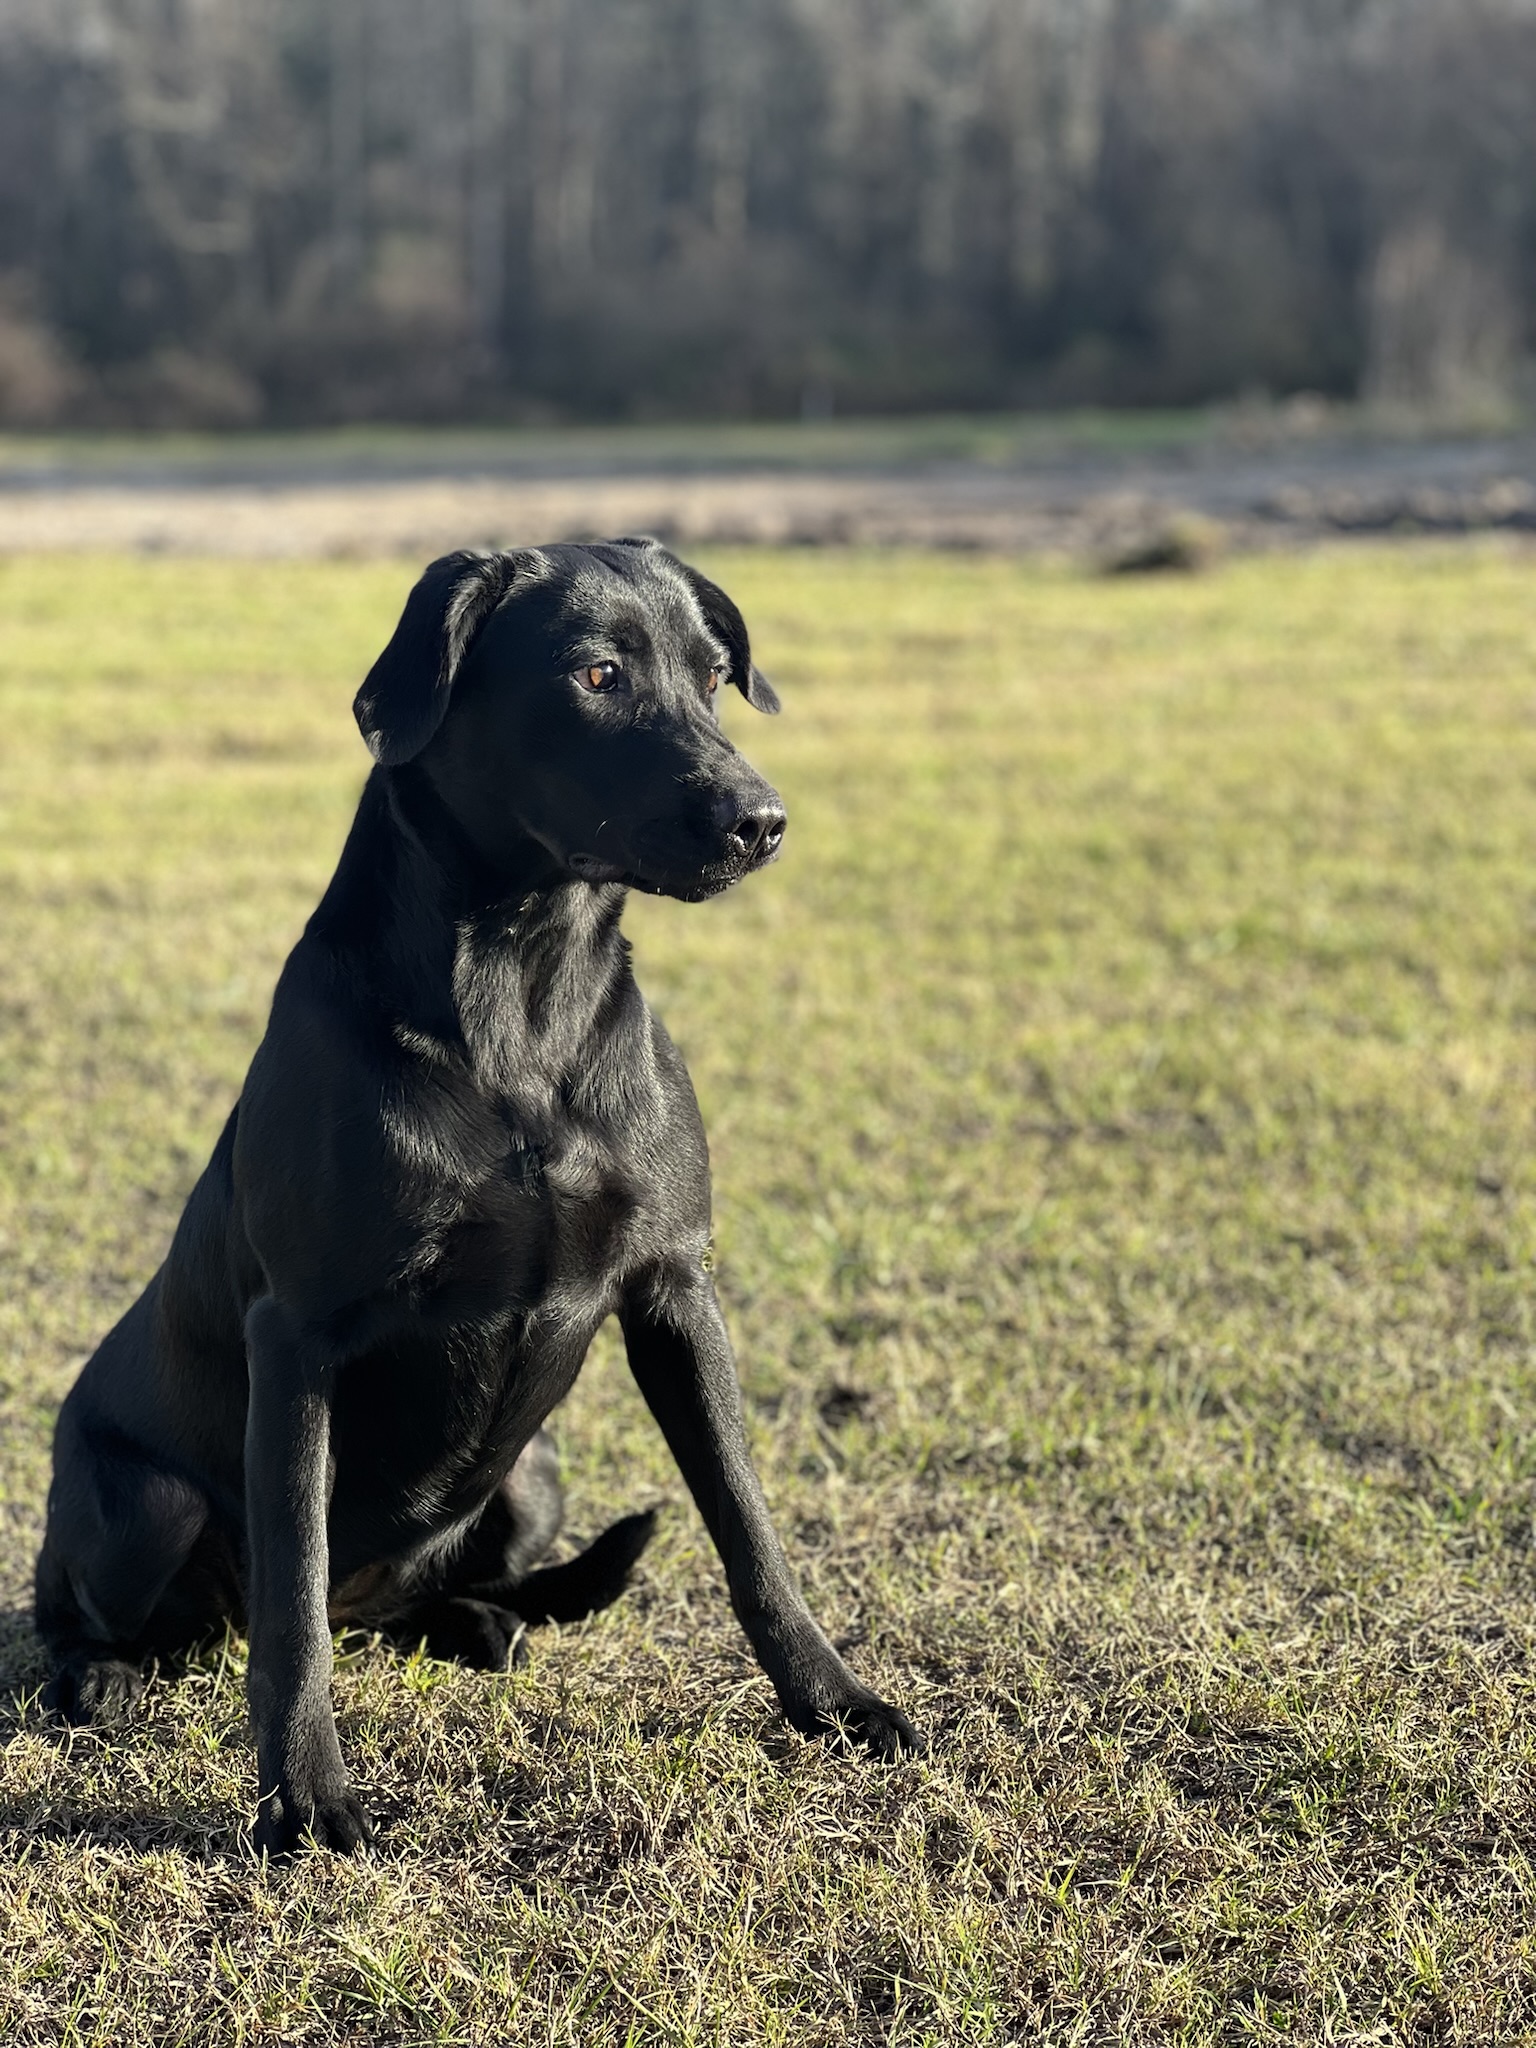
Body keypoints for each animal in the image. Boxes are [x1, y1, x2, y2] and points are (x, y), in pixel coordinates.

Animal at [36, 536, 921, 1851]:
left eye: (714, 675)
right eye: (598, 673)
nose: (761, 819)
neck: (522, 987)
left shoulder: (675, 1288)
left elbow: (752, 1530)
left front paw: (839, 1703)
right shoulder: (298, 1336)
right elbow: (291, 1602)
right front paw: (306, 1798)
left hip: (532, 1475)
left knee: (406, 1601)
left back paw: (475, 1623)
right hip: (141, 1502)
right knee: (142, 1608)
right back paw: (99, 1673)